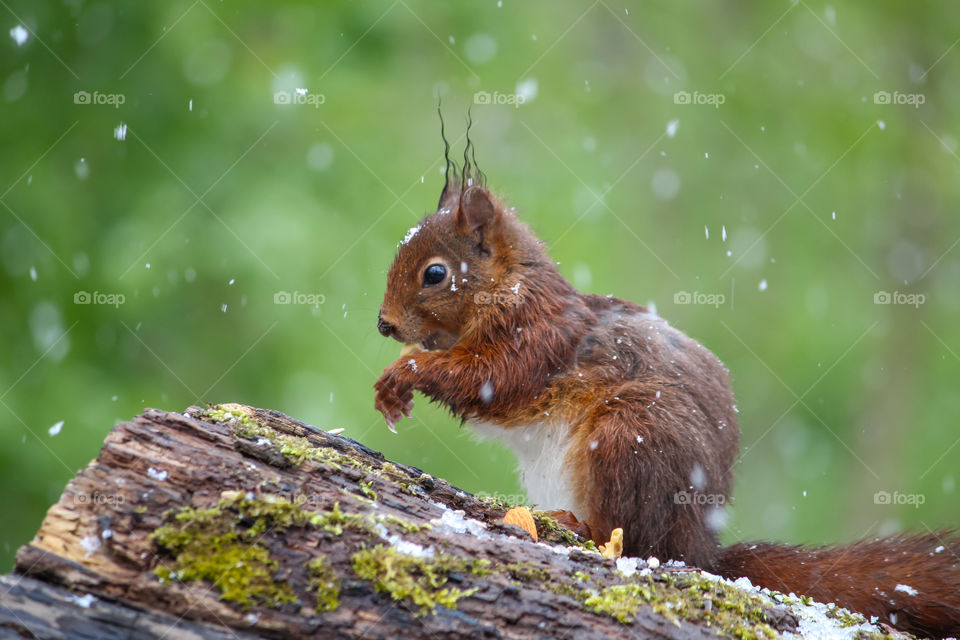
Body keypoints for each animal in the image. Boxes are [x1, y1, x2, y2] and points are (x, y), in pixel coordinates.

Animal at [372, 139, 956, 636]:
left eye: (435, 273)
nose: (384, 325)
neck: (512, 289)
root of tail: (700, 547)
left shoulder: (538, 341)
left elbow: (488, 379)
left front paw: (408, 373)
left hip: (627, 437)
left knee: (631, 536)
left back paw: (579, 525)